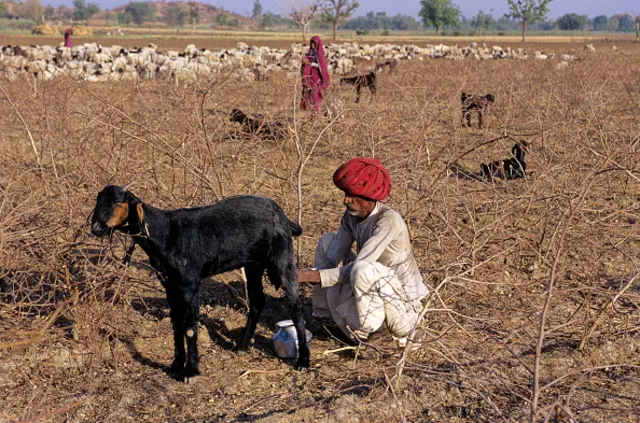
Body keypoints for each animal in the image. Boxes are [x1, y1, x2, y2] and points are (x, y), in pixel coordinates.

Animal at [90, 185, 308, 383]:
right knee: (257, 300)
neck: (166, 234)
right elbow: (176, 325)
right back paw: (242, 346)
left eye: (118, 202)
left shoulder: (190, 284)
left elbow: (189, 328)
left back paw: (303, 360)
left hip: (282, 256)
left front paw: (191, 371)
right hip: (253, 264)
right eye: (98, 200)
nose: (96, 227)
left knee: (295, 305)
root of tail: (282, 214)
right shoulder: (170, 285)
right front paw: (176, 365)